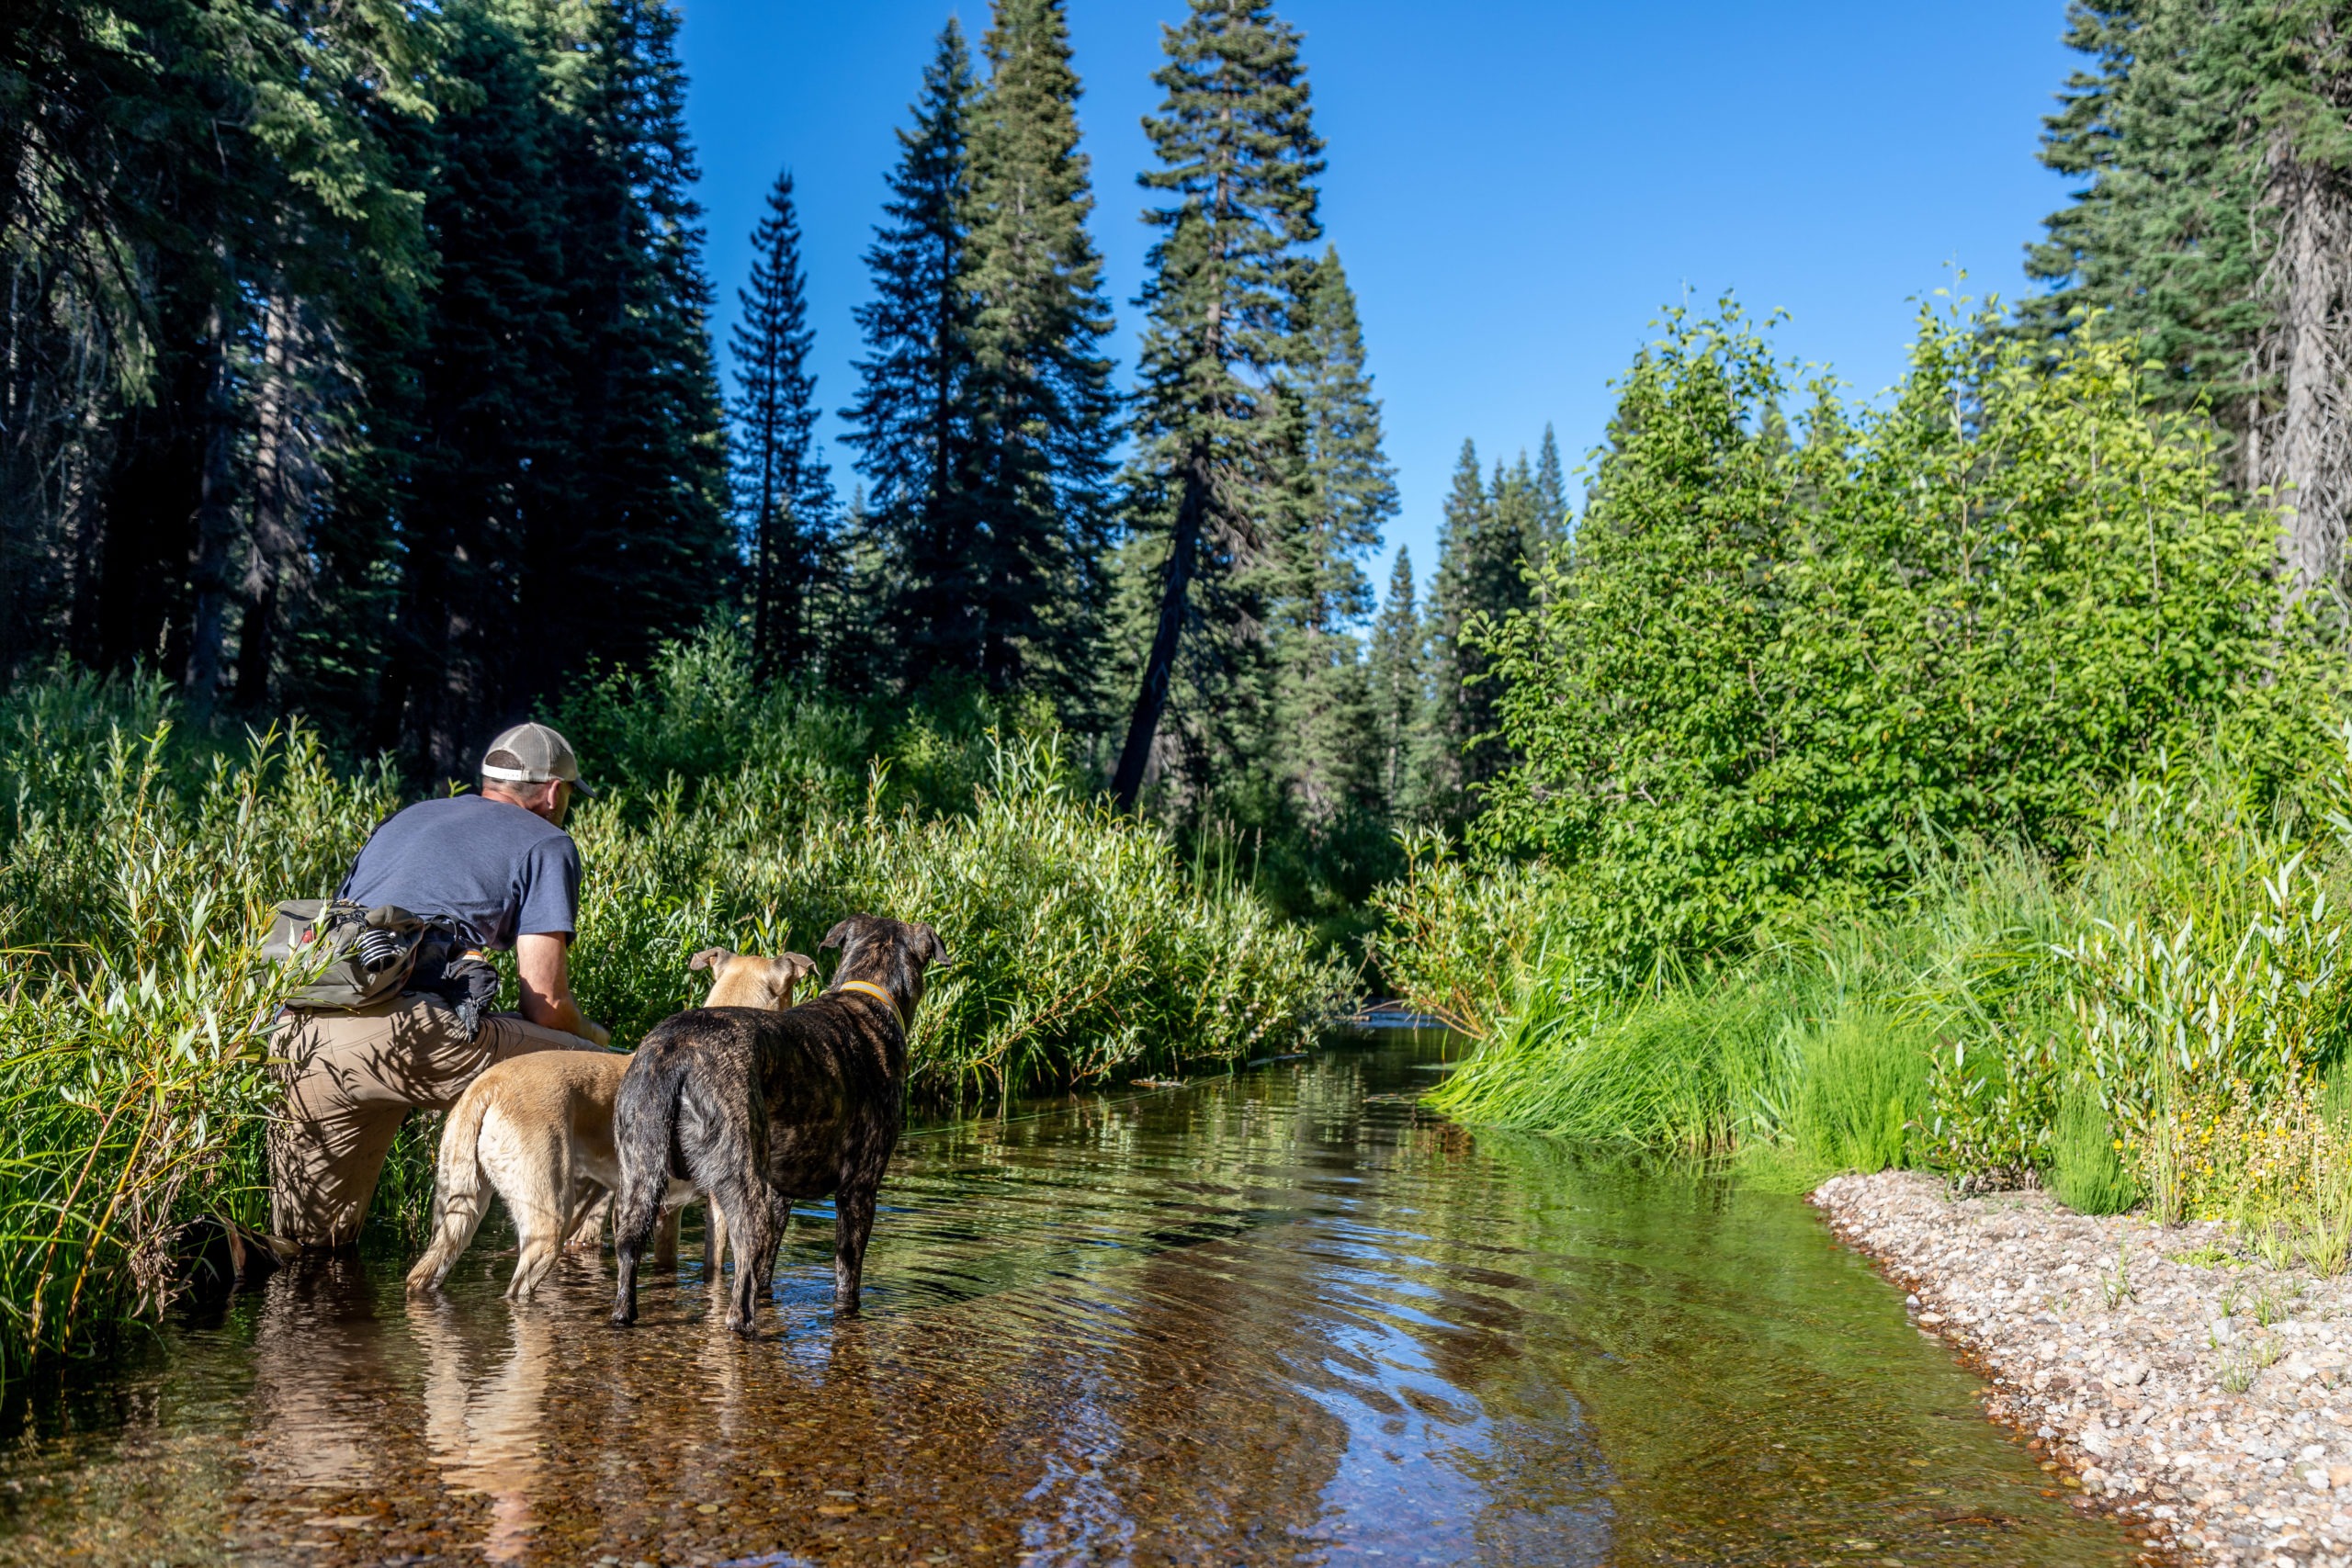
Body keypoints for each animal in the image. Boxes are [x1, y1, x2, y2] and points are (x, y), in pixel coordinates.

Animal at [400, 944, 813, 1297]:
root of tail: (488, 1086)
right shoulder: (718, 1207)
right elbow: (715, 1272)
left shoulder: (668, 1211)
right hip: (547, 1218)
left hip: (458, 1208)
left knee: (423, 1274)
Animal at [606, 921, 945, 1335]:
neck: (867, 990)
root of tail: (677, 1052)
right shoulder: (858, 1190)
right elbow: (847, 1277)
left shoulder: (779, 1193)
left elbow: (766, 1268)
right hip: (741, 1183)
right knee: (740, 1291)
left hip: (636, 1176)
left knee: (629, 1254)